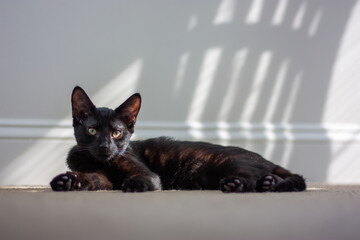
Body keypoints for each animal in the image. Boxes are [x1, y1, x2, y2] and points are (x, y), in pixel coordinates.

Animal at [49, 86, 306, 193]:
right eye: (92, 131)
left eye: (116, 132)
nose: (105, 146)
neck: (100, 162)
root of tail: (264, 159)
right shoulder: (102, 177)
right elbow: (95, 179)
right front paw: (69, 181)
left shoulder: (146, 172)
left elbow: (142, 178)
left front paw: (134, 185)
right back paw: (269, 184)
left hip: (230, 163)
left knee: (257, 179)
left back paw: (242, 185)